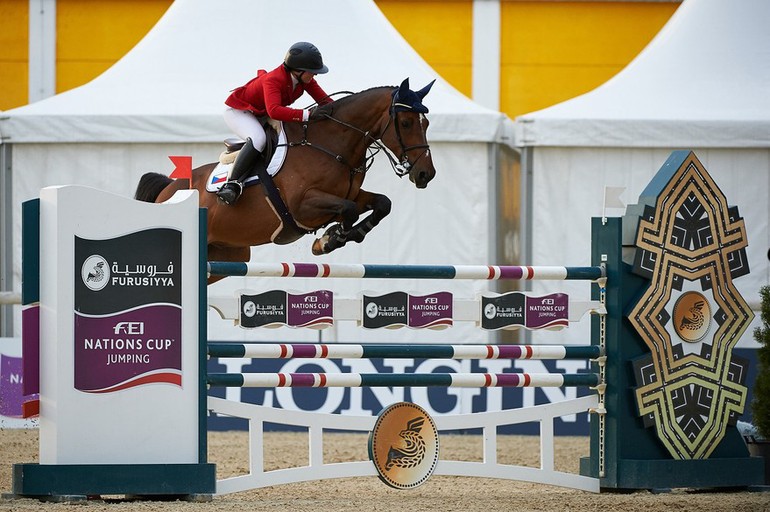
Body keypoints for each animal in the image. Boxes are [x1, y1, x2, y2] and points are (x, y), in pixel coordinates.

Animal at [134, 78, 436, 272]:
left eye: (427, 123)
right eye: (406, 122)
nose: (426, 174)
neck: (332, 144)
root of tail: (168, 189)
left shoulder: (350, 194)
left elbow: (382, 203)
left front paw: (348, 234)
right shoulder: (302, 205)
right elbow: (348, 210)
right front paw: (328, 240)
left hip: (229, 252)